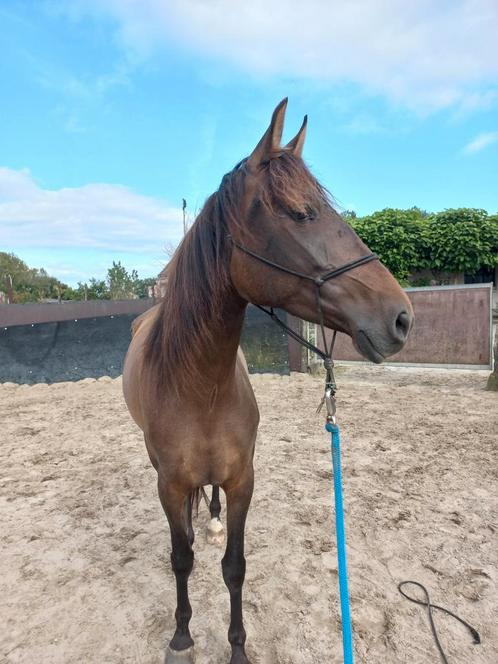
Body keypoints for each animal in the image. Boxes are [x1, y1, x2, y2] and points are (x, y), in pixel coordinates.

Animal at [122, 100, 414, 664]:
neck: (201, 387)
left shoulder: (243, 481)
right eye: (302, 213)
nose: (402, 318)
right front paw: (182, 635)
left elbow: (235, 567)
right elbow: (181, 558)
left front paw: (237, 647)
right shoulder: (169, 485)